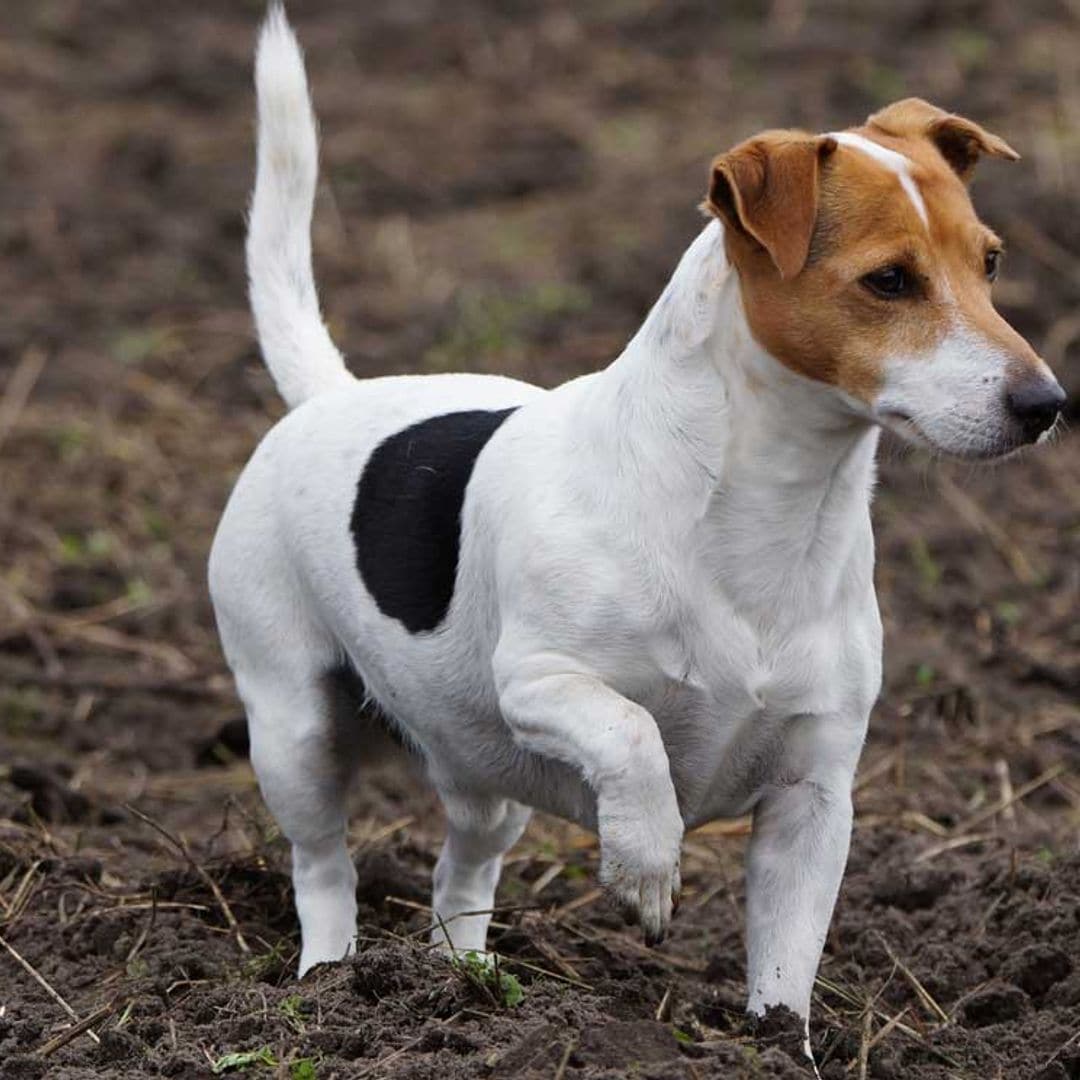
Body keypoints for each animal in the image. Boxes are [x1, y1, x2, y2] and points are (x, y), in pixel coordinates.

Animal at [208, 4, 1062, 1058]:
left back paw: (461, 987)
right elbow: (634, 735)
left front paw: (780, 1046)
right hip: (294, 729)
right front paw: (648, 866)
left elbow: (788, 960)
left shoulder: (813, 802)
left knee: (462, 872)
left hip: (481, 769)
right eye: (891, 281)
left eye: (990, 263)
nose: (1047, 405)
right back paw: (329, 986)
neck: (769, 513)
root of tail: (332, 395)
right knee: (324, 866)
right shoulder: (539, 681)